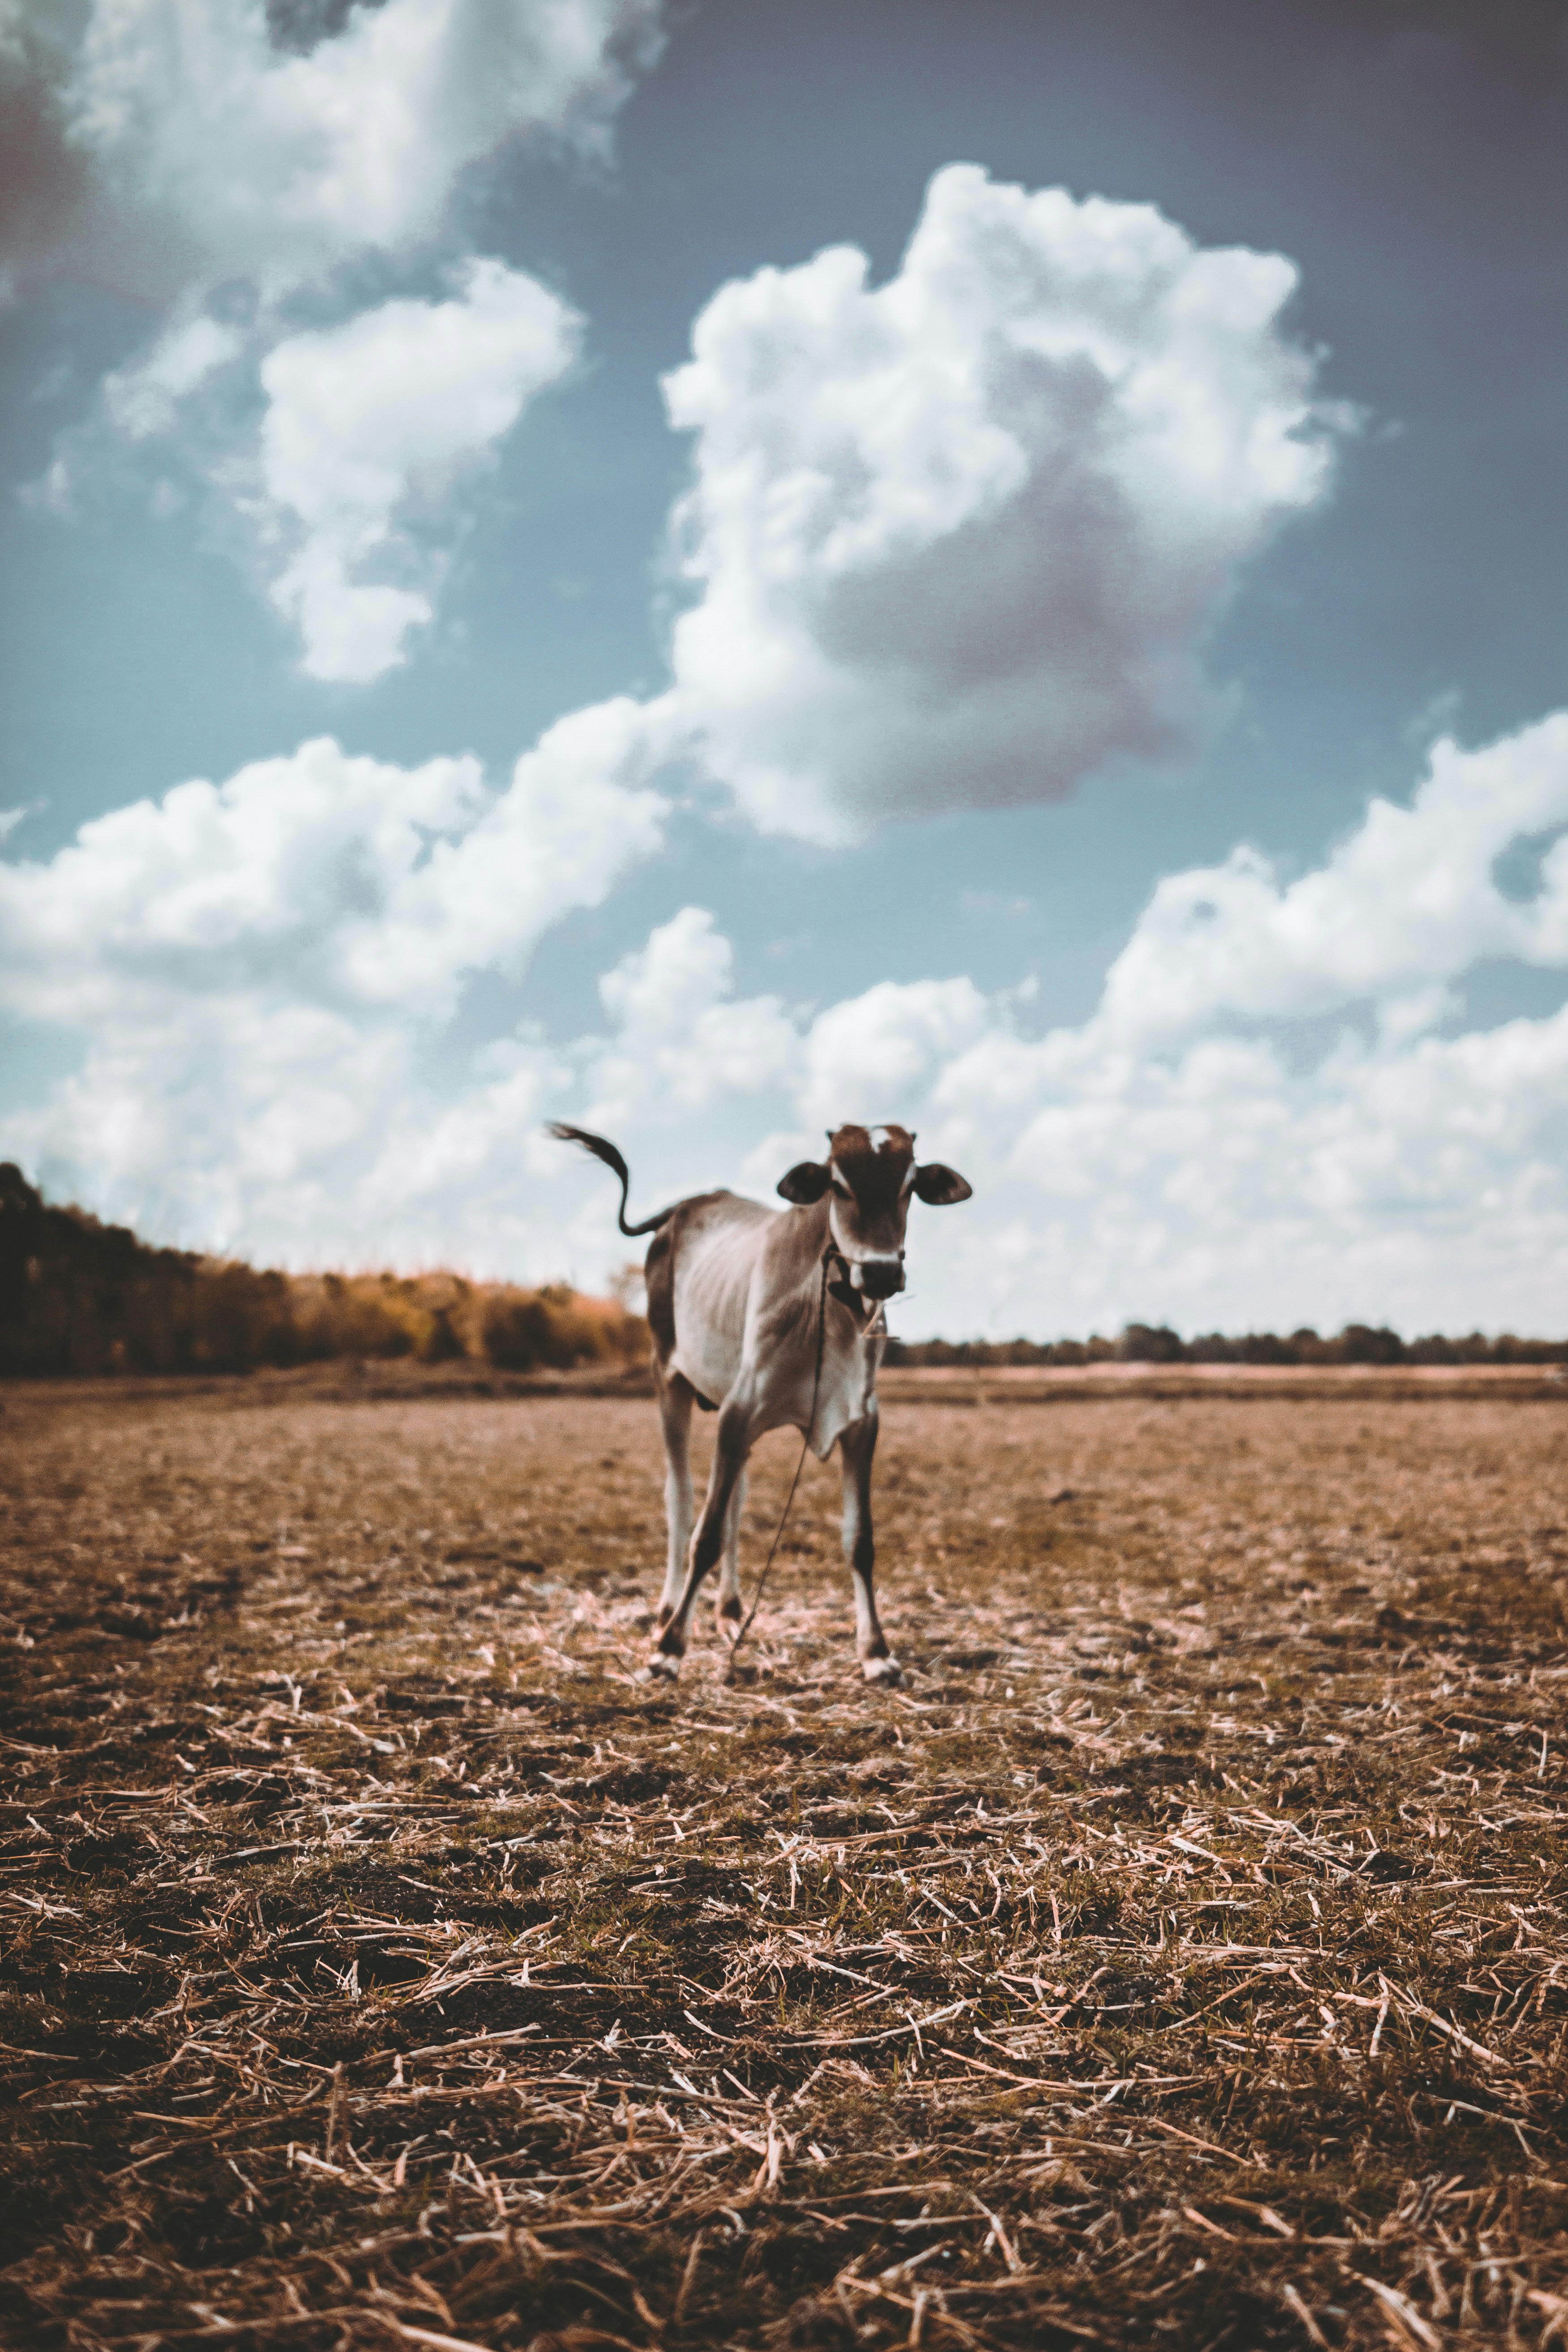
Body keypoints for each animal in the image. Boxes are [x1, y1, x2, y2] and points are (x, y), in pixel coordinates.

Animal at [549, 1121, 972, 1682]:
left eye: (908, 1187)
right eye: (839, 1185)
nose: (881, 1273)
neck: (829, 1313)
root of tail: (684, 1207)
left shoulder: (861, 1422)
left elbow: (858, 1541)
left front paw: (876, 1652)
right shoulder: (738, 1411)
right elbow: (704, 1535)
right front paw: (669, 1649)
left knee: (734, 1501)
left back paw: (729, 1612)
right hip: (669, 1379)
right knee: (681, 1497)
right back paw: (666, 1611)